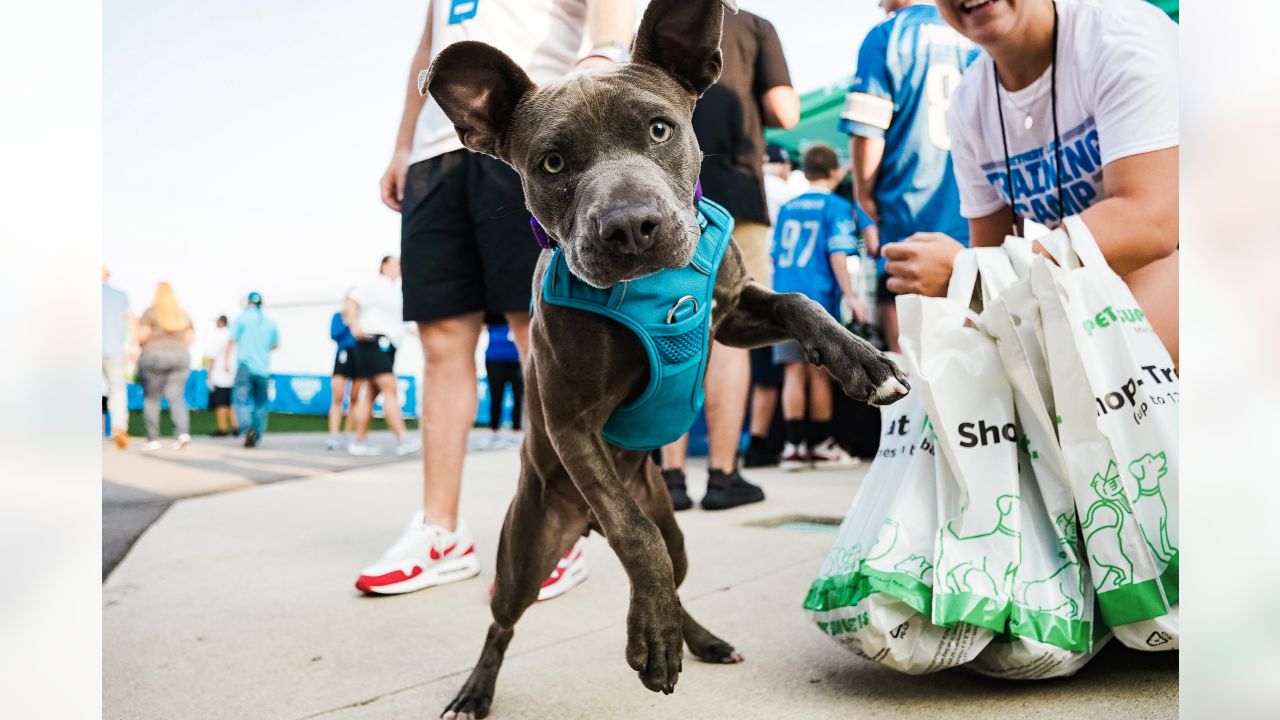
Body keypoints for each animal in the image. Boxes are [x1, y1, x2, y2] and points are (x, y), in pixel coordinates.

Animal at [424, 2, 906, 712]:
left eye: (659, 129)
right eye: (551, 163)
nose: (629, 225)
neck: (656, 289)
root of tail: (579, 524)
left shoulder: (732, 316)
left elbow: (798, 300)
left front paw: (862, 359)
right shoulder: (571, 425)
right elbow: (634, 536)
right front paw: (649, 638)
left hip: (669, 523)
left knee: (674, 573)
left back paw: (697, 638)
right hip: (528, 548)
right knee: (505, 620)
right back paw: (477, 691)